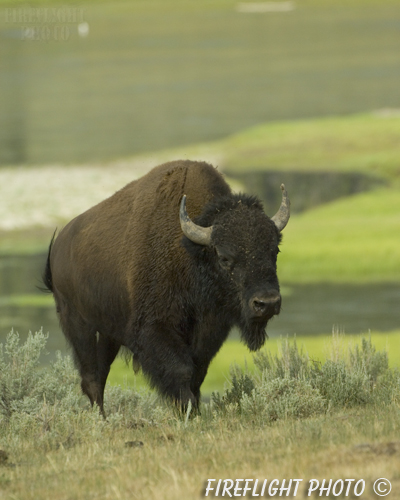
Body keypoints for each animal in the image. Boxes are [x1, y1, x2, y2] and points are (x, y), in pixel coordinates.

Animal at [42, 160, 290, 414]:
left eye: (275, 250)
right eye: (224, 257)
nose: (267, 303)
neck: (191, 252)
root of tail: (58, 247)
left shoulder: (210, 331)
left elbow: (197, 375)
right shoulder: (156, 328)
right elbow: (180, 371)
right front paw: (188, 412)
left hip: (109, 332)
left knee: (100, 374)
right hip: (78, 324)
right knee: (90, 377)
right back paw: (100, 418)